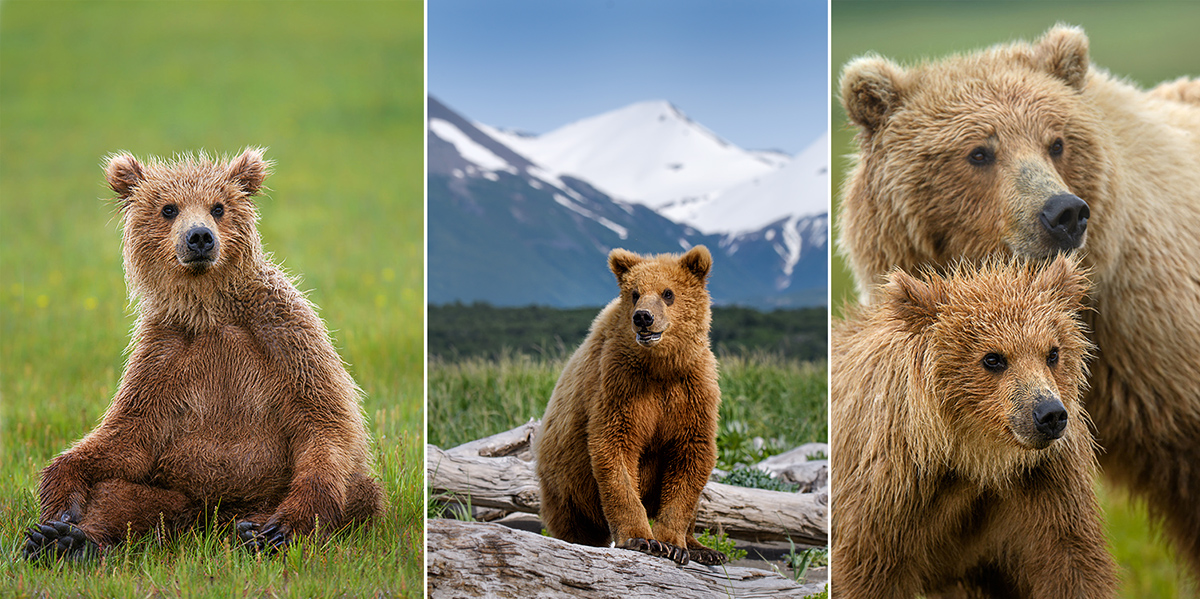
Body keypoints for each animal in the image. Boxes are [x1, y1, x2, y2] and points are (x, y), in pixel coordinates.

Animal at [24, 150, 379, 561]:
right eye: (168, 208)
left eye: (218, 207)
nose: (199, 237)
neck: (209, 311)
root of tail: (213, 521)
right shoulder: (162, 354)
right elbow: (125, 439)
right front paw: (60, 506)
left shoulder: (285, 335)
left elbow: (326, 423)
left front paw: (283, 528)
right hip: (178, 493)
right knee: (121, 496)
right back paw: (67, 540)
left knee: (361, 494)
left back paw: (257, 533)